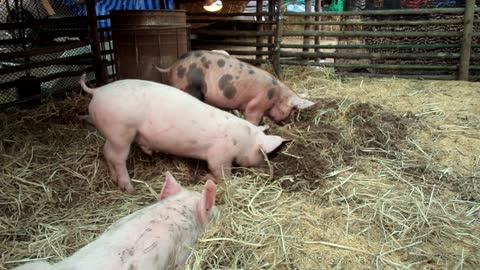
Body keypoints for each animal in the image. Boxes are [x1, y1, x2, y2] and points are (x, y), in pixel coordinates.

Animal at [79, 73, 284, 193]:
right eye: (264, 154)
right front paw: (209, 179)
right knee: (116, 157)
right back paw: (129, 188)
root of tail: (98, 91)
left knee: (106, 152)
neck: (243, 140)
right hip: (121, 132)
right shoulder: (219, 156)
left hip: (113, 135)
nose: (269, 173)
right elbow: (221, 173)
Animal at [154, 49, 316, 125]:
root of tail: (173, 66)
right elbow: (252, 120)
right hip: (190, 87)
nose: (293, 123)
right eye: (294, 109)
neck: (276, 97)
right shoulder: (255, 106)